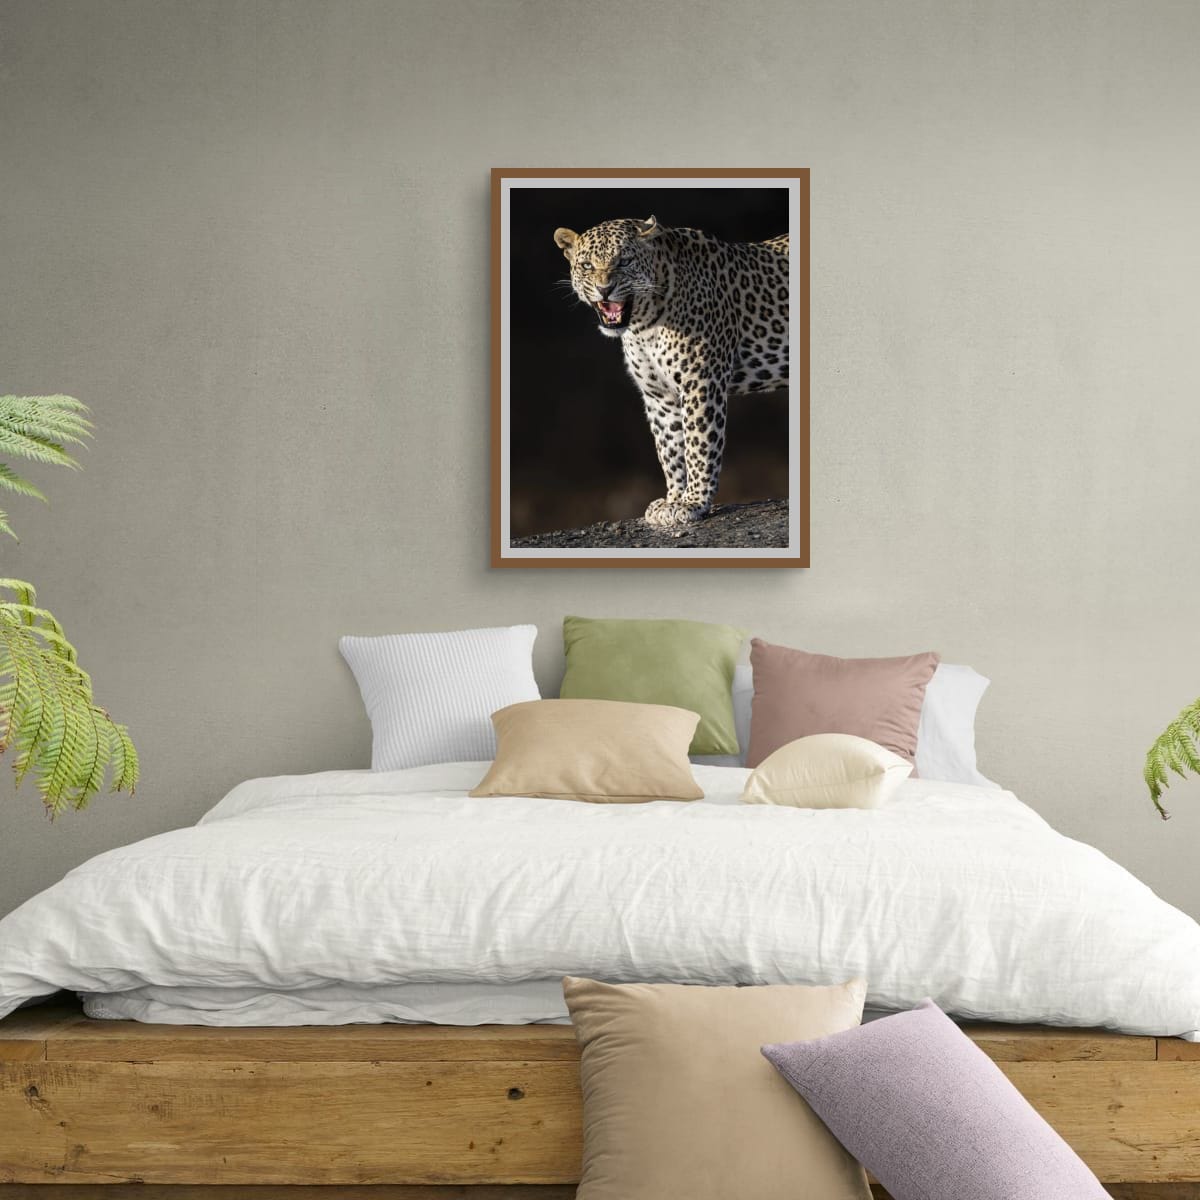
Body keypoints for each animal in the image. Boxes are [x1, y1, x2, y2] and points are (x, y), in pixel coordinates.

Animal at [553, 215, 789, 527]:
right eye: (587, 265)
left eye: (624, 261)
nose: (604, 289)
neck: (644, 325)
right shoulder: (659, 396)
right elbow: (670, 448)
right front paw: (674, 499)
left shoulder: (701, 382)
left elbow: (698, 444)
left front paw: (693, 502)